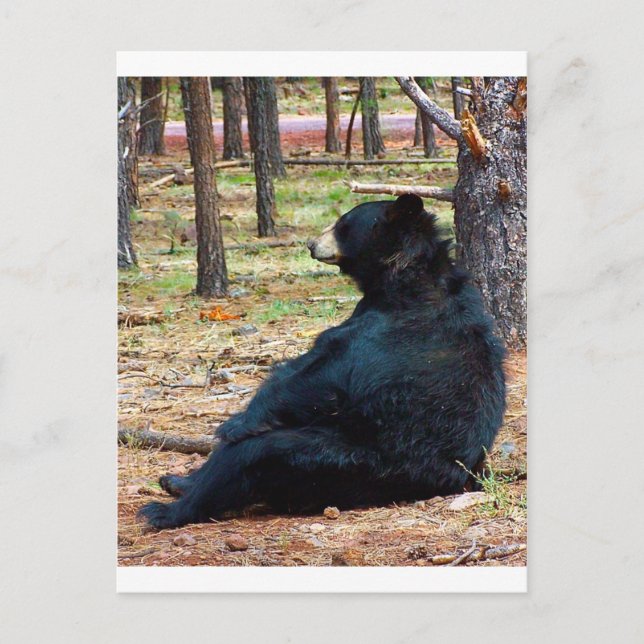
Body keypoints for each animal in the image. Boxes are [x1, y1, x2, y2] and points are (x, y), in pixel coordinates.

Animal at [139, 194, 506, 529]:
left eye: (343, 224)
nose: (311, 244)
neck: (404, 279)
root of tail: (448, 481)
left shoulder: (384, 333)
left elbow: (318, 377)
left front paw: (235, 423)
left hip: (344, 461)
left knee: (247, 457)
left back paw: (167, 510)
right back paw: (177, 480)